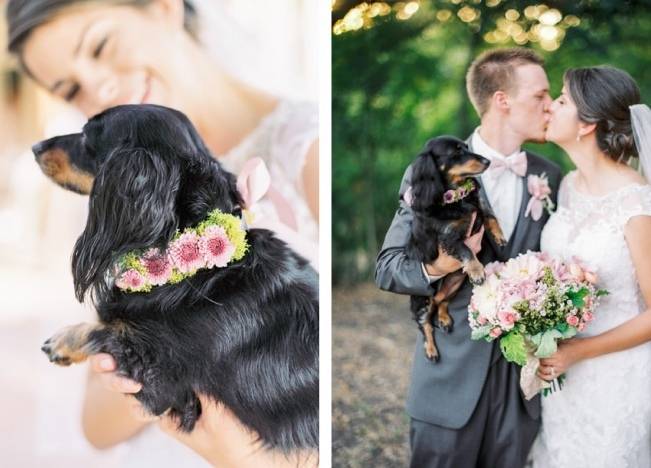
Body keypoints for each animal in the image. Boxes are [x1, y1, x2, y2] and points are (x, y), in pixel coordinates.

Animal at [31, 103, 320, 454]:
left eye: (87, 137)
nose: (36, 147)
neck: (207, 272)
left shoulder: (162, 383)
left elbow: (108, 331)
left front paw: (63, 341)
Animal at [404, 135, 506, 362]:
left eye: (466, 147)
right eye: (456, 152)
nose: (487, 161)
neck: (457, 196)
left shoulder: (478, 207)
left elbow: (490, 216)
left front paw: (500, 236)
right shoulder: (449, 238)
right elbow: (466, 250)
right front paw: (476, 270)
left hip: (456, 283)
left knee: (442, 301)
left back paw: (444, 319)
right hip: (422, 299)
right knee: (425, 324)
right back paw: (431, 349)